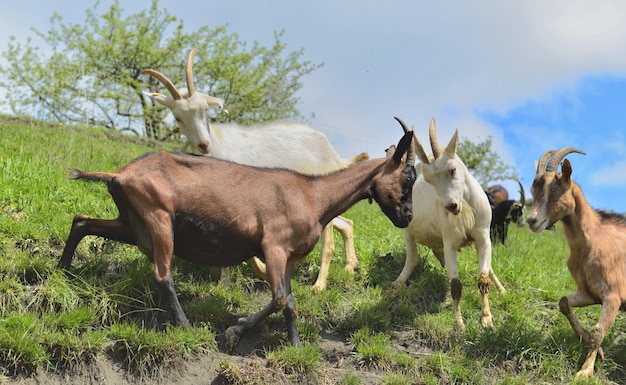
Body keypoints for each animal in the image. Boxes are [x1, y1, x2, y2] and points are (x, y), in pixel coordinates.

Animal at [59, 130, 414, 352]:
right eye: (407, 177)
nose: (407, 217)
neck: (314, 196)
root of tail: (119, 175)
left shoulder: (289, 258)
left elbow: (290, 303)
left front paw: (296, 346)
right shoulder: (273, 246)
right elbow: (280, 298)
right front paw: (233, 334)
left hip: (133, 223)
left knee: (81, 221)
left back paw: (62, 271)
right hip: (157, 218)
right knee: (162, 275)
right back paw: (185, 326)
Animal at [141, 48, 366, 292]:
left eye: (205, 109)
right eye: (178, 118)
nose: (204, 145)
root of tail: (332, 152)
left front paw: (258, 272)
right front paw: (226, 281)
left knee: (330, 240)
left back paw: (319, 285)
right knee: (346, 224)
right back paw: (350, 267)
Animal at [392, 117, 504, 330]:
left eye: (452, 169)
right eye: (429, 180)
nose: (451, 206)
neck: (466, 210)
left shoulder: (483, 237)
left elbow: (483, 278)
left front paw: (486, 319)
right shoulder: (450, 242)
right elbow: (455, 285)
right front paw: (459, 323)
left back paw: (501, 289)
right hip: (407, 232)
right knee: (412, 259)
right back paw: (397, 284)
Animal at [528, 147, 624, 378]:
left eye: (554, 187)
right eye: (533, 188)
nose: (532, 220)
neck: (591, 243)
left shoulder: (613, 296)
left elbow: (598, 331)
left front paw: (585, 371)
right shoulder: (588, 293)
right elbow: (563, 302)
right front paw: (591, 345)